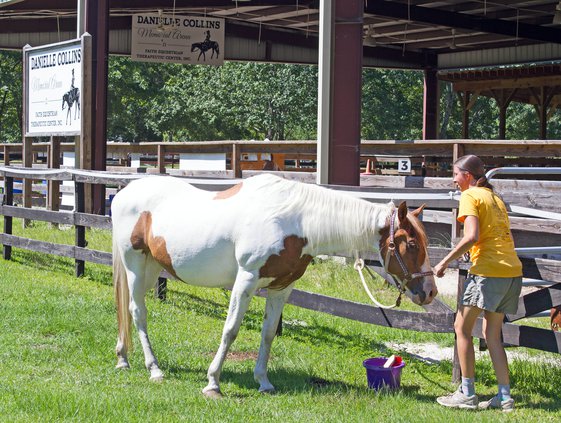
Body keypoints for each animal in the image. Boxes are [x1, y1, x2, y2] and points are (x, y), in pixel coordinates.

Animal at [111, 172, 438, 398]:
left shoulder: (282, 288)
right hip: (134, 265)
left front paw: (264, 382)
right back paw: (154, 369)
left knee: (128, 309)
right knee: (138, 312)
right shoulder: (246, 279)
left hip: (152, 269)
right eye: (410, 243)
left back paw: (123, 358)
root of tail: (124, 193)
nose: (430, 292)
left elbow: (268, 334)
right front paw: (213, 382)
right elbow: (230, 330)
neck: (295, 221)